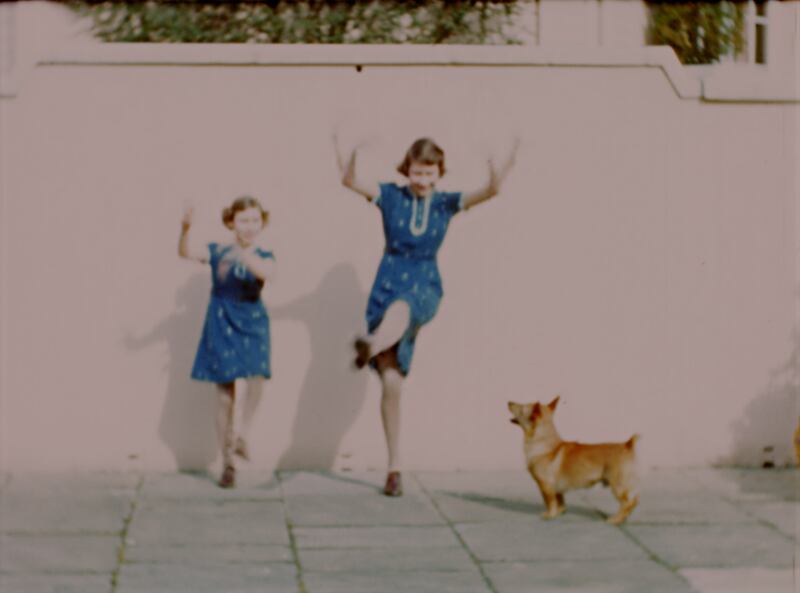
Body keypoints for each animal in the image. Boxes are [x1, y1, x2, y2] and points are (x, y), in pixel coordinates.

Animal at [510, 398, 640, 524]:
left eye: (521, 408)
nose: (509, 402)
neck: (544, 441)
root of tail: (627, 445)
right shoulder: (557, 488)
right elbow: (560, 500)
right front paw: (559, 512)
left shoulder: (546, 486)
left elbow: (550, 502)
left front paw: (549, 515)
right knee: (633, 501)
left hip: (618, 486)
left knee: (628, 503)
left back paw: (616, 519)